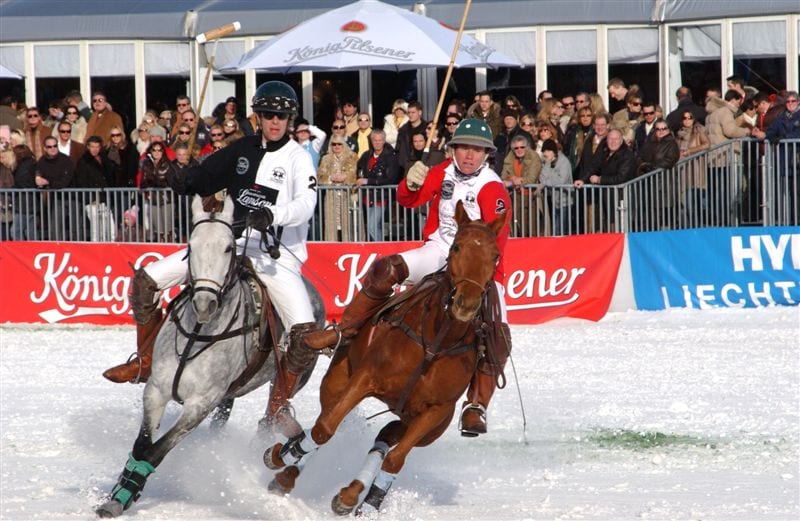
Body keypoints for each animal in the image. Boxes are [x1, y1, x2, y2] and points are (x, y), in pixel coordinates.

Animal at [264, 201, 500, 512]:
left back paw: (353, 495)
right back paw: (288, 468)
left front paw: (368, 502)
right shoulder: (365, 379)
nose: (467, 303)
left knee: (385, 438)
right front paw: (282, 456)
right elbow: (324, 429)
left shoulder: (436, 412)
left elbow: (395, 459)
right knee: (326, 421)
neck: (435, 342)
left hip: (423, 423)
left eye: (495, 256)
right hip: (336, 381)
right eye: (457, 247)